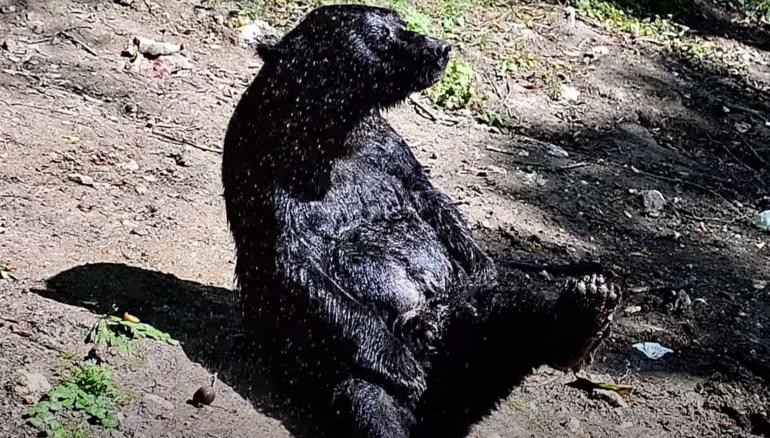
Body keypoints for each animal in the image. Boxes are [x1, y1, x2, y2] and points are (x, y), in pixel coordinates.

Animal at [221, 4, 620, 438]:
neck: (329, 135)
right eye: (384, 38)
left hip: (467, 328)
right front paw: (401, 364)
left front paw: (489, 266)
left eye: (402, 23)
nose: (440, 48)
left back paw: (587, 309)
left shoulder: (386, 151)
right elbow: (295, 265)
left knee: (514, 308)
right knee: (368, 399)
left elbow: (435, 208)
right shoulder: (269, 168)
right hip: (341, 370)